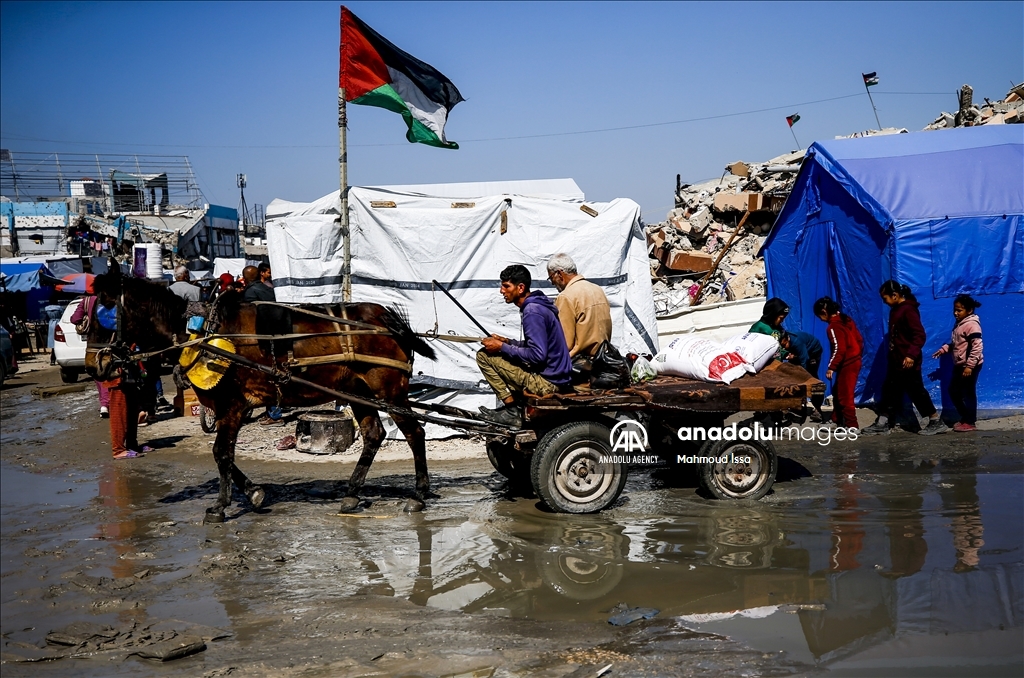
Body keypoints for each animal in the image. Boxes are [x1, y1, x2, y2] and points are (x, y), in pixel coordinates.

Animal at [86, 274, 438, 522]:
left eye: (104, 312)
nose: (93, 366)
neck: (201, 333)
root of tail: (385, 318)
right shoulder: (228, 409)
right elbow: (226, 455)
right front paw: (253, 493)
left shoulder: (231, 405)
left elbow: (221, 453)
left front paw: (220, 505)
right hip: (358, 392)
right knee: (374, 435)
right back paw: (352, 494)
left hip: (389, 391)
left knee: (414, 433)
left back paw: (418, 495)